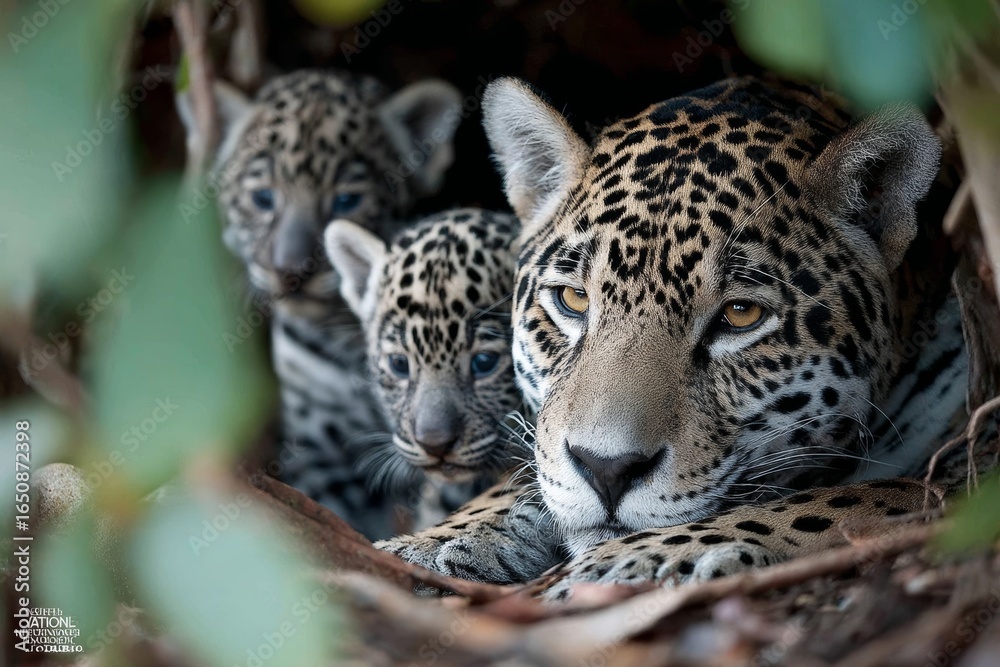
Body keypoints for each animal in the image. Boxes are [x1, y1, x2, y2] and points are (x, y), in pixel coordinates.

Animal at [377, 75, 983, 598]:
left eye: (739, 314)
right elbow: (527, 470)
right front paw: (432, 543)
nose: (607, 470)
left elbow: (851, 498)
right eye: (573, 300)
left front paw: (642, 556)